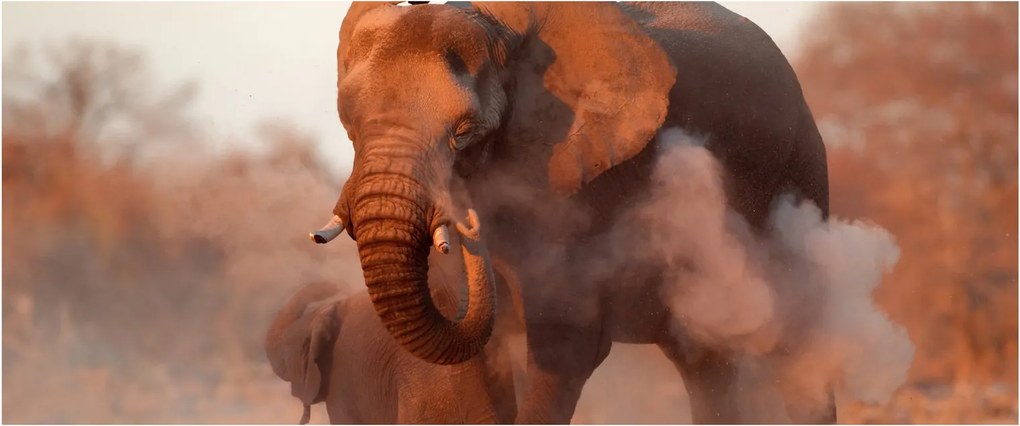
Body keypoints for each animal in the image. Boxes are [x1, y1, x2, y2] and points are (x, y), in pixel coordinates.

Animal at [309, 2, 832, 424]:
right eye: (350, 125)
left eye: (464, 132)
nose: (468, 221)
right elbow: (474, 357)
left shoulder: (583, 186)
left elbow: (565, 345)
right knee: (704, 362)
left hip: (799, 172)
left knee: (802, 342)